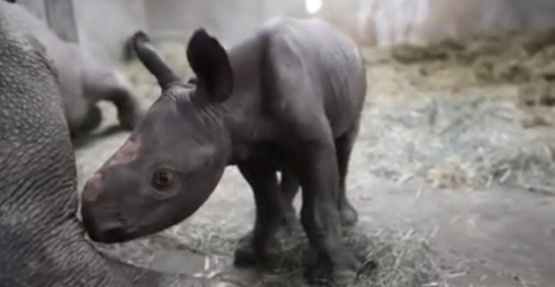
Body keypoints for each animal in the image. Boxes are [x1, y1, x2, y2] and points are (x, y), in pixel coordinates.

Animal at [80, 17, 368, 286]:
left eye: (163, 179)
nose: (92, 221)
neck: (230, 105)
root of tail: (341, 34)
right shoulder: (248, 150)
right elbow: (266, 204)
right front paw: (254, 254)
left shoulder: (313, 142)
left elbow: (318, 208)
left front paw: (339, 274)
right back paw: (288, 227)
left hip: (354, 80)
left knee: (345, 148)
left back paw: (347, 218)